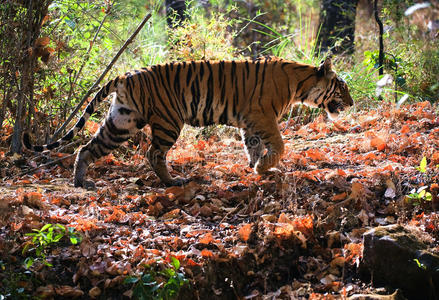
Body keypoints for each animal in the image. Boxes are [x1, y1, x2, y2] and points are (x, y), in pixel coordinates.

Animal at [23, 56, 354, 189]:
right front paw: (265, 167)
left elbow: (253, 145)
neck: (300, 84)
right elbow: (279, 145)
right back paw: (172, 182)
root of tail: (126, 74)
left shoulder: (249, 122)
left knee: (87, 148)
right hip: (169, 121)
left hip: (122, 121)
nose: (352, 103)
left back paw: (81, 182)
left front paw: (256, 167)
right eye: (342, 87)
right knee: (153, 153)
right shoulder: (263, 116)